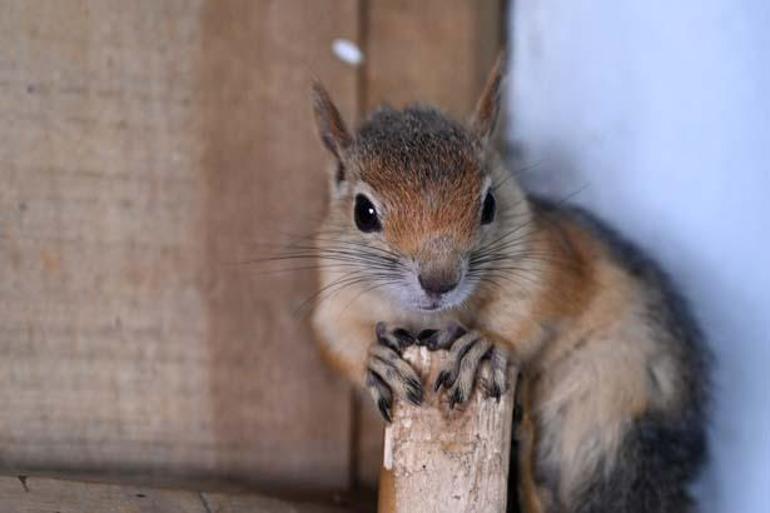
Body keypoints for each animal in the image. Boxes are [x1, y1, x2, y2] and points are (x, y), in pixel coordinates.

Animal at [306, 56, 708, 512]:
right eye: (364, 213)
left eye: (489, 205)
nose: (440, 280)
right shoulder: (338, 293)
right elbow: (335, 337)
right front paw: (374, 358)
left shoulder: (546, 259)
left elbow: (531, 305)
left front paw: (486, 342)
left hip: (611, 404)